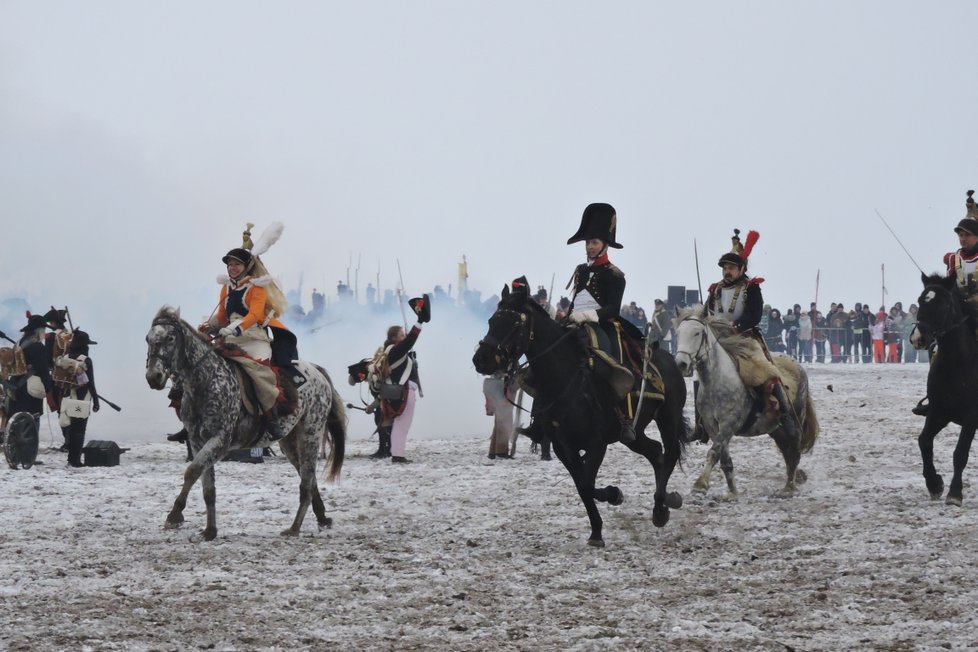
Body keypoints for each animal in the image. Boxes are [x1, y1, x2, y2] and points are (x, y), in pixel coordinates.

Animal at [143, 306, 346, 540]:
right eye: (148, 339)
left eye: (170, 337)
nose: (153, 377)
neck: (207, 381)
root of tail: (316, 371)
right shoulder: (197, 441)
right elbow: (208, 488)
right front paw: (210, 531)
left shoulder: (220, 441)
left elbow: (192, 471)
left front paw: (175, 515)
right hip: (289, 441)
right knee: (309, 477)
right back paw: (322, 517)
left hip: (310, 434)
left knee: (306, 481)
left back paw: (294, 528)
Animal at [672, 308, 816, 496]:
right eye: (678, 333)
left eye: (697, 333)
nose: (681, 364)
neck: (717, 381)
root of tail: (798, 366)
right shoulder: (713, 426)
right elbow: (724, 459)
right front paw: (733, 493)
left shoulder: (729, 424)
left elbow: (713, 452)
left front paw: (700, 483)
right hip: (776, 429)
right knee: (787, 452)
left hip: (796, 422)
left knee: (794, 453)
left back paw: (789, 487)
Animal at [908, 272, 976, 506]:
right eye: (920, 300)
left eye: (943, 304)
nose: (918, 338)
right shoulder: (939, 412)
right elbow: (924, 441)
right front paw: (934, 484)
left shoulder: (971, 417)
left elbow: (960, 453)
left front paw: (955, 493)